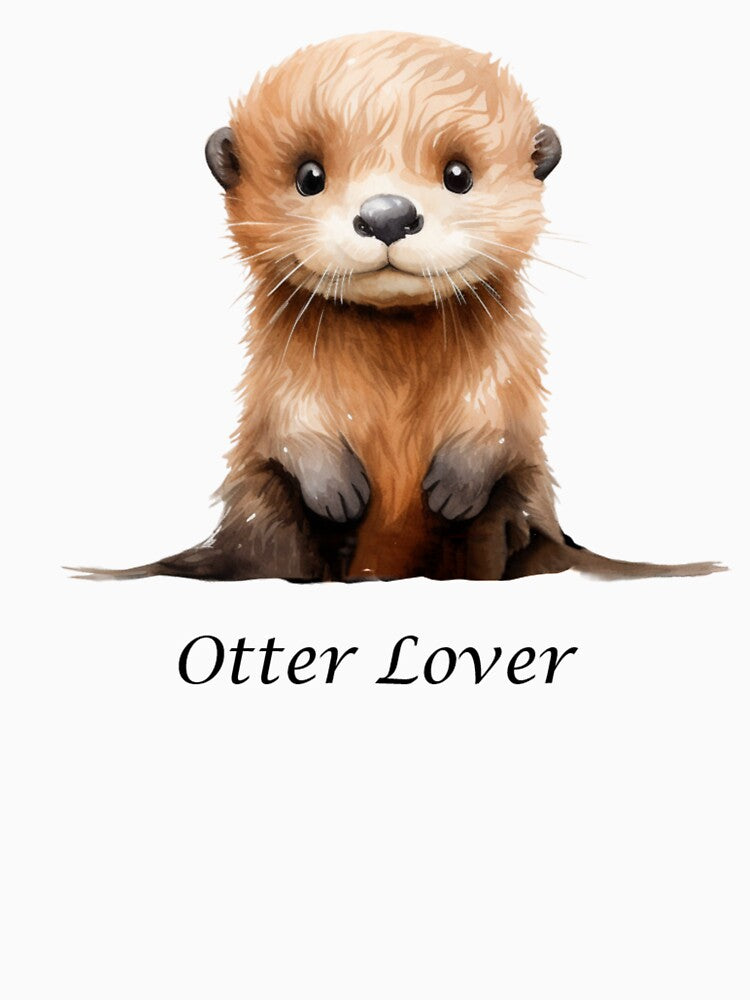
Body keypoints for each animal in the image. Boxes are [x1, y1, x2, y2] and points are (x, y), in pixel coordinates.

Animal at [77, 31, 720, 581]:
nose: (388, 214)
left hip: (518, 509)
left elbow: (501, 415)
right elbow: (289, 419)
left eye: (458, 174)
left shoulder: (514, 363)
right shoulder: (275, 373)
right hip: (261, 504)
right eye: (310, 175)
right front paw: (338, 491)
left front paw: (454, 485)